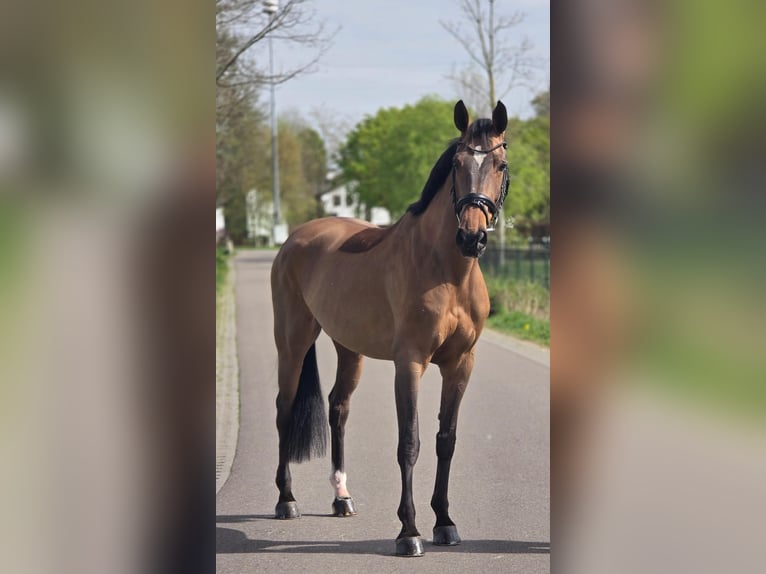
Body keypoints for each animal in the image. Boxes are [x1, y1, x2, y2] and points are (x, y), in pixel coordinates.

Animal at [270, 100, 510, 557]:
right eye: (457, 163)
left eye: (501, 164)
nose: (471, 238)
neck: (446, 270)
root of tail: (296, 237)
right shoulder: (409, 363)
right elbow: (409, 442)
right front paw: (409, 532)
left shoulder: (460, 364)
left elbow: (446, 439)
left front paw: (445, 523)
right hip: (292, 343)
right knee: (284, 411)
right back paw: (286, 500)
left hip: (349, 348)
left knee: (338, 407)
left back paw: (342, 498)